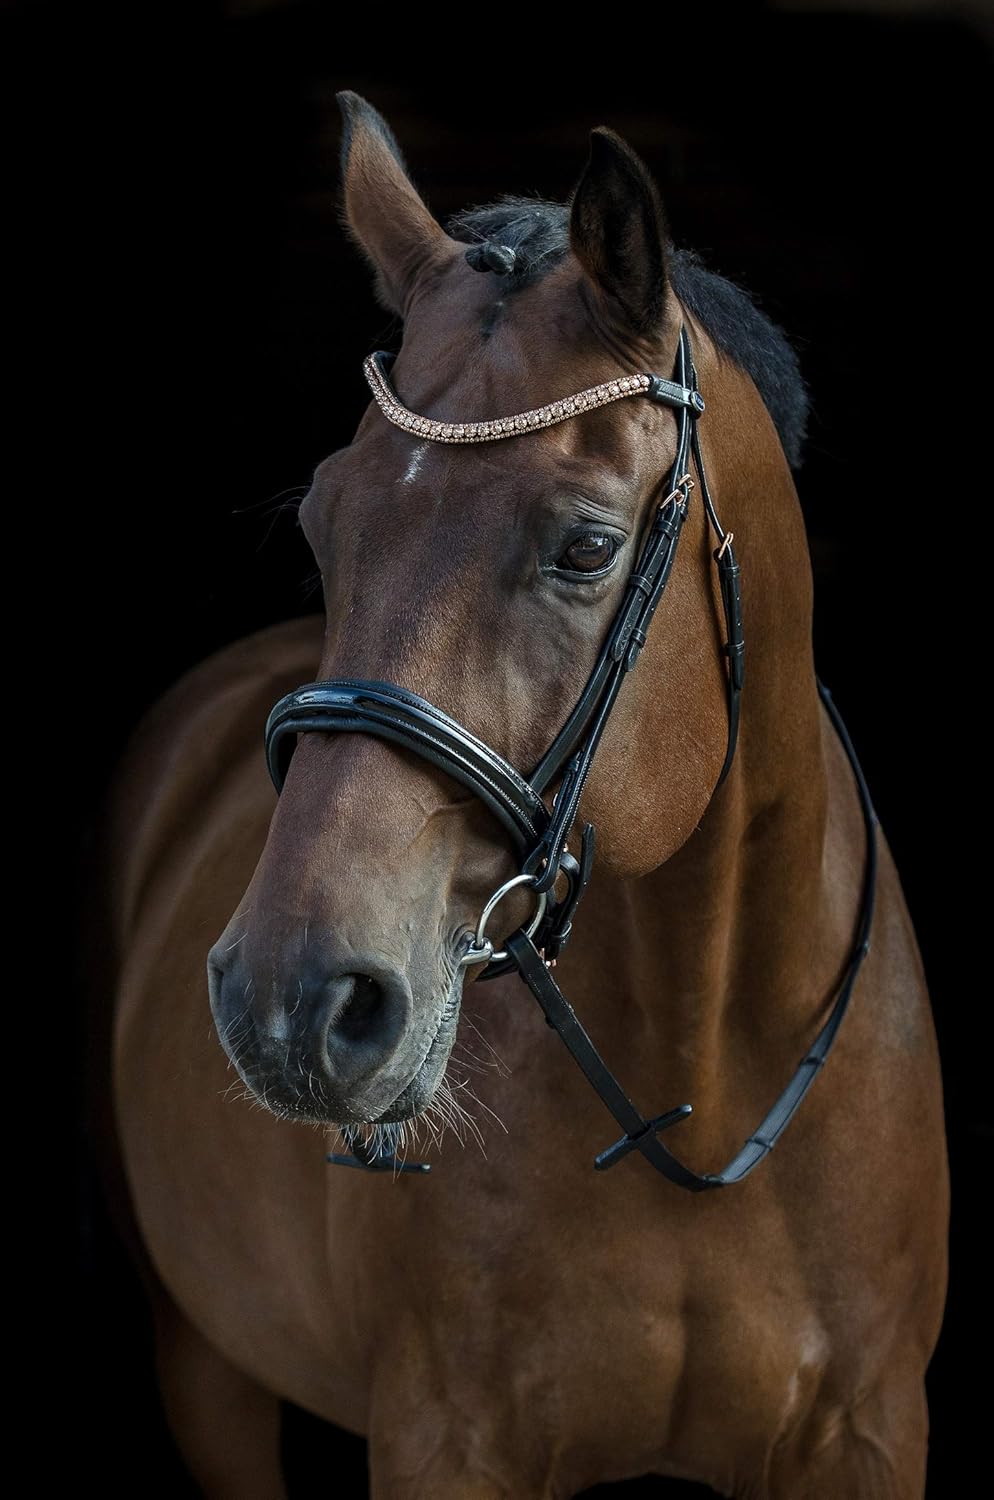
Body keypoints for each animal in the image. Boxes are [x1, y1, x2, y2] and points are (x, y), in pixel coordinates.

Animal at [102, 92, 948, 1497]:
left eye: (588, 547)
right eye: (322, 528)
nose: (293, 1000)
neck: (701, 1088)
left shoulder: (869, 1435)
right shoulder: (446, 1441)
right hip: (201, 1362)